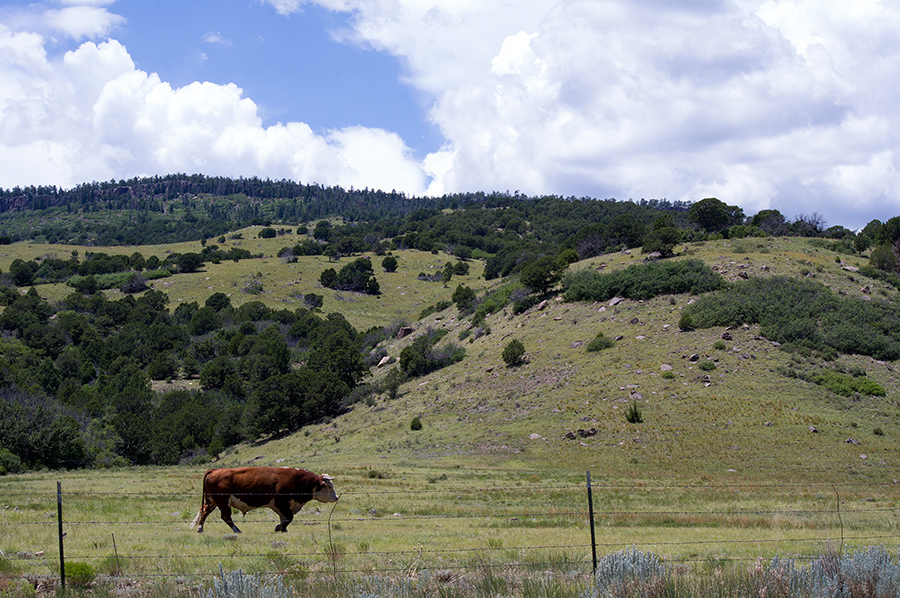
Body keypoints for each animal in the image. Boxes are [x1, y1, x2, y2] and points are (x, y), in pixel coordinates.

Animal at [192, 468, 338, 536]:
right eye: (329, 486)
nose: (336, 498)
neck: (296, 480)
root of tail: (215, 470)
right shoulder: (281, 503)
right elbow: (289, 517)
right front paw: (279, 528)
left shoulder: (281, 506)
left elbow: (284, 518)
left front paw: (282, 529)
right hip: (223, 502)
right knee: (226, 517)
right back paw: (237, 530)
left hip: (212, 501)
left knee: (204, 512)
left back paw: (200, 529)